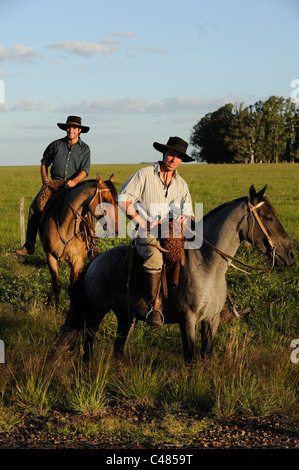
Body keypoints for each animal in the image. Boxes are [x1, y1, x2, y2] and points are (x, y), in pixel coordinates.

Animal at [37, 174, 118, 310]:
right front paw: (56, 309)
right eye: (107, 200)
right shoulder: (50, 256)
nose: (117, 229)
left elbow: (72, 288)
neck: (65, 228)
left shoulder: (77, 261)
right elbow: (57, 284)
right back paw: (50, 301)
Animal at [59, 185, 296, 362]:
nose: (292, 253)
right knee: (88, 347)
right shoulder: (188, 320)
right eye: (269, 218)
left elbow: (206, 355)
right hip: (96, 312)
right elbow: (191, 358)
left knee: (119, 349)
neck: (207, 265)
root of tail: (95, 260)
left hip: (126, 316)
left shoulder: (211, 321)